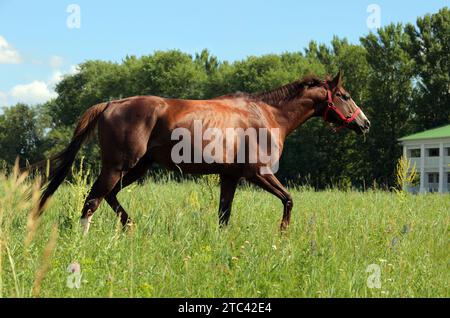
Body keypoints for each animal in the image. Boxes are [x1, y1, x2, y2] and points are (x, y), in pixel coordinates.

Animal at [37, 72, 370, 234]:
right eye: (345, 95)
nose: (365, 123)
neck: (267, 114)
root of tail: (111, 104)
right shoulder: (259, 173)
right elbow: (288, 200)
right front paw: (283, 235)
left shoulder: (230, 177)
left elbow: (224, 216)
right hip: (118, 166)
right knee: (92, 201)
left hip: (137, 168)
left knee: (108, 197)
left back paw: (130, 227)